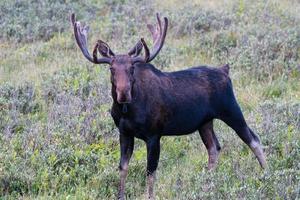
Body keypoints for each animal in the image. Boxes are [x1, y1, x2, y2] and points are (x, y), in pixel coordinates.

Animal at [71, 13, 268, 199]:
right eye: (111, 69)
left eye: (131, 69)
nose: (123, 93)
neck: (127, 112)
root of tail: (225, 70)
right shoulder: (124, 132)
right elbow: (123, 167)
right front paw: (120, 195)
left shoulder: (154, 134)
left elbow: (150, 172)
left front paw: (150, 196)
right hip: (205, 122)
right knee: (214, 147)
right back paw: (207, 183)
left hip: (231, 109)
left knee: (253, 139)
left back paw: (266, 175)